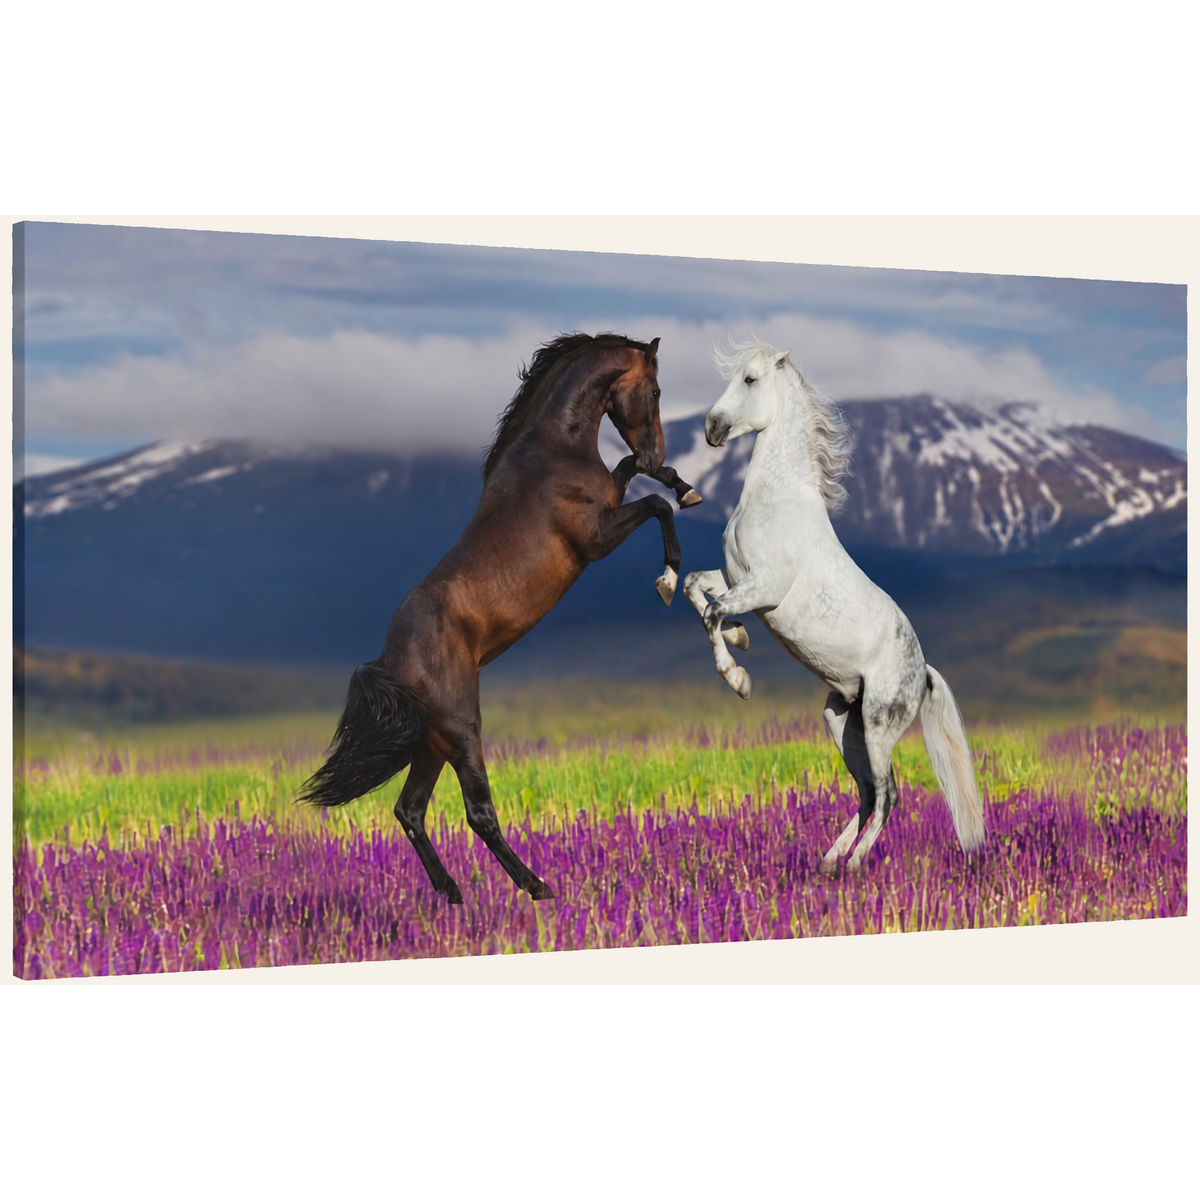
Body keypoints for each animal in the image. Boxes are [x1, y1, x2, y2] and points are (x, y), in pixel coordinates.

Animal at [299, 332, 702, 903]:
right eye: (656, 389)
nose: (657, 450)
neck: (553, 450)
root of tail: (389, 661)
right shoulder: (595, 539)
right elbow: (655, 505)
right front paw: (669, 578)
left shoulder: (610, 500)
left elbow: (636, 476)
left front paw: (684, 485)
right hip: (463, 731)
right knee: (478, 813)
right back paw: (537, 887)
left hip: (432, 742)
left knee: (410, 810)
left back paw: (452, 894)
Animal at [682, 339, 986, 873]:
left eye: (750, 379)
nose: (711, 429)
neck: (777, 499)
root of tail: (923, 671)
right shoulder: (737, 578)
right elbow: (693, 588)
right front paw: (742, 637)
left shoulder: (765, 587)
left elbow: (711, 612)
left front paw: (739, 679)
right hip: (842, 719)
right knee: (865, 791)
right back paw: (828, 861)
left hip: (881, 724)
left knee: (888, 794)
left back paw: (856, 862)